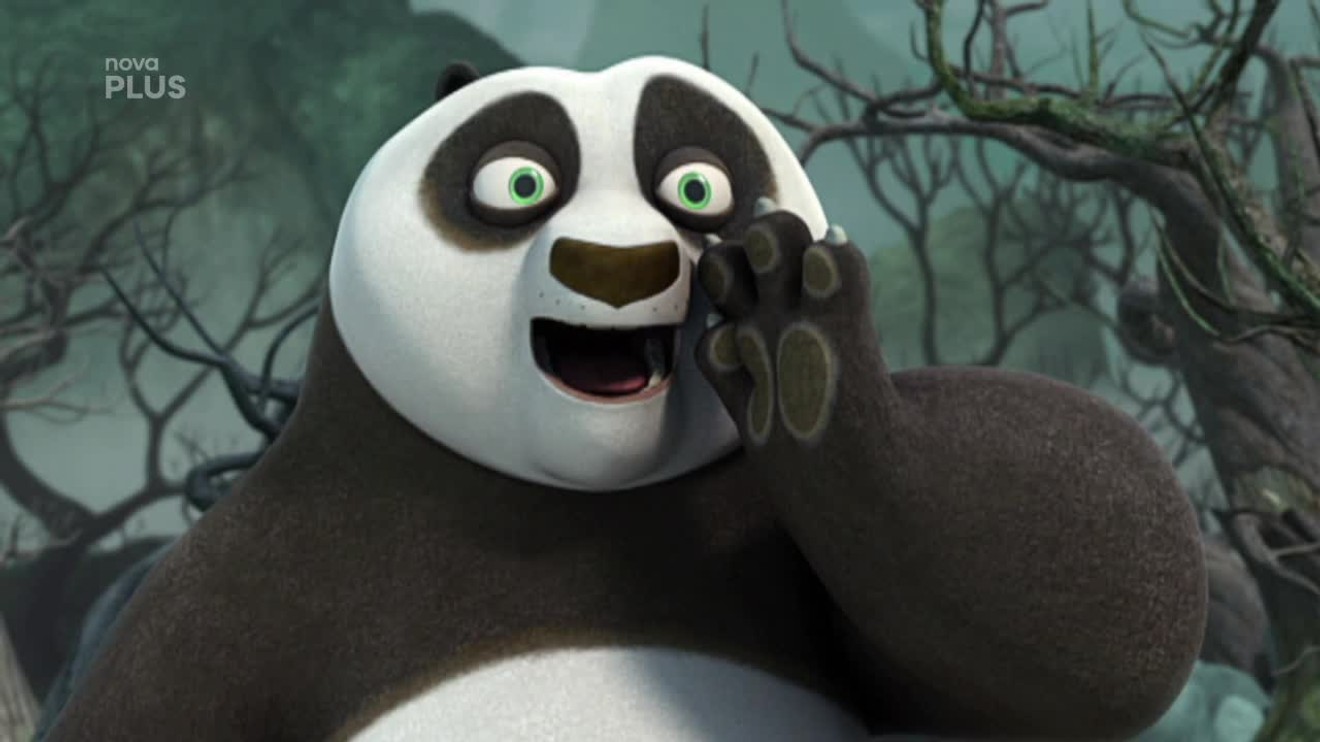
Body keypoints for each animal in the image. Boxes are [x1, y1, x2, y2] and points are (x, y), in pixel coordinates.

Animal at [47, 56, 1206, 741]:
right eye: (518, 182)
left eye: (695, 187)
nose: (618, 266)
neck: (574, 499)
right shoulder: (254, 579)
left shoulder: (772, 538)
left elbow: (1101, 576)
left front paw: (793, 338)